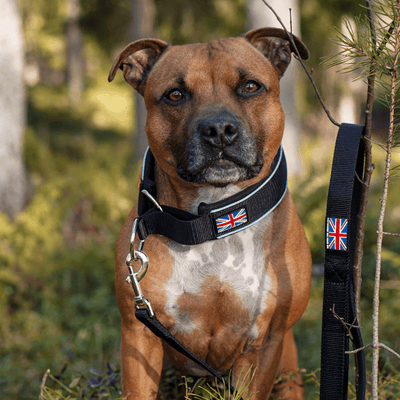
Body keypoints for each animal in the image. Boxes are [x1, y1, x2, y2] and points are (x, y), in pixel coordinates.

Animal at [109, 28, 312, 400]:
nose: (218, 130)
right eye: (175, 94)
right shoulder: (139, 333)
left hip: (287, 370)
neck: (213, 219)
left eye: (250, 86)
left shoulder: (265, 344)